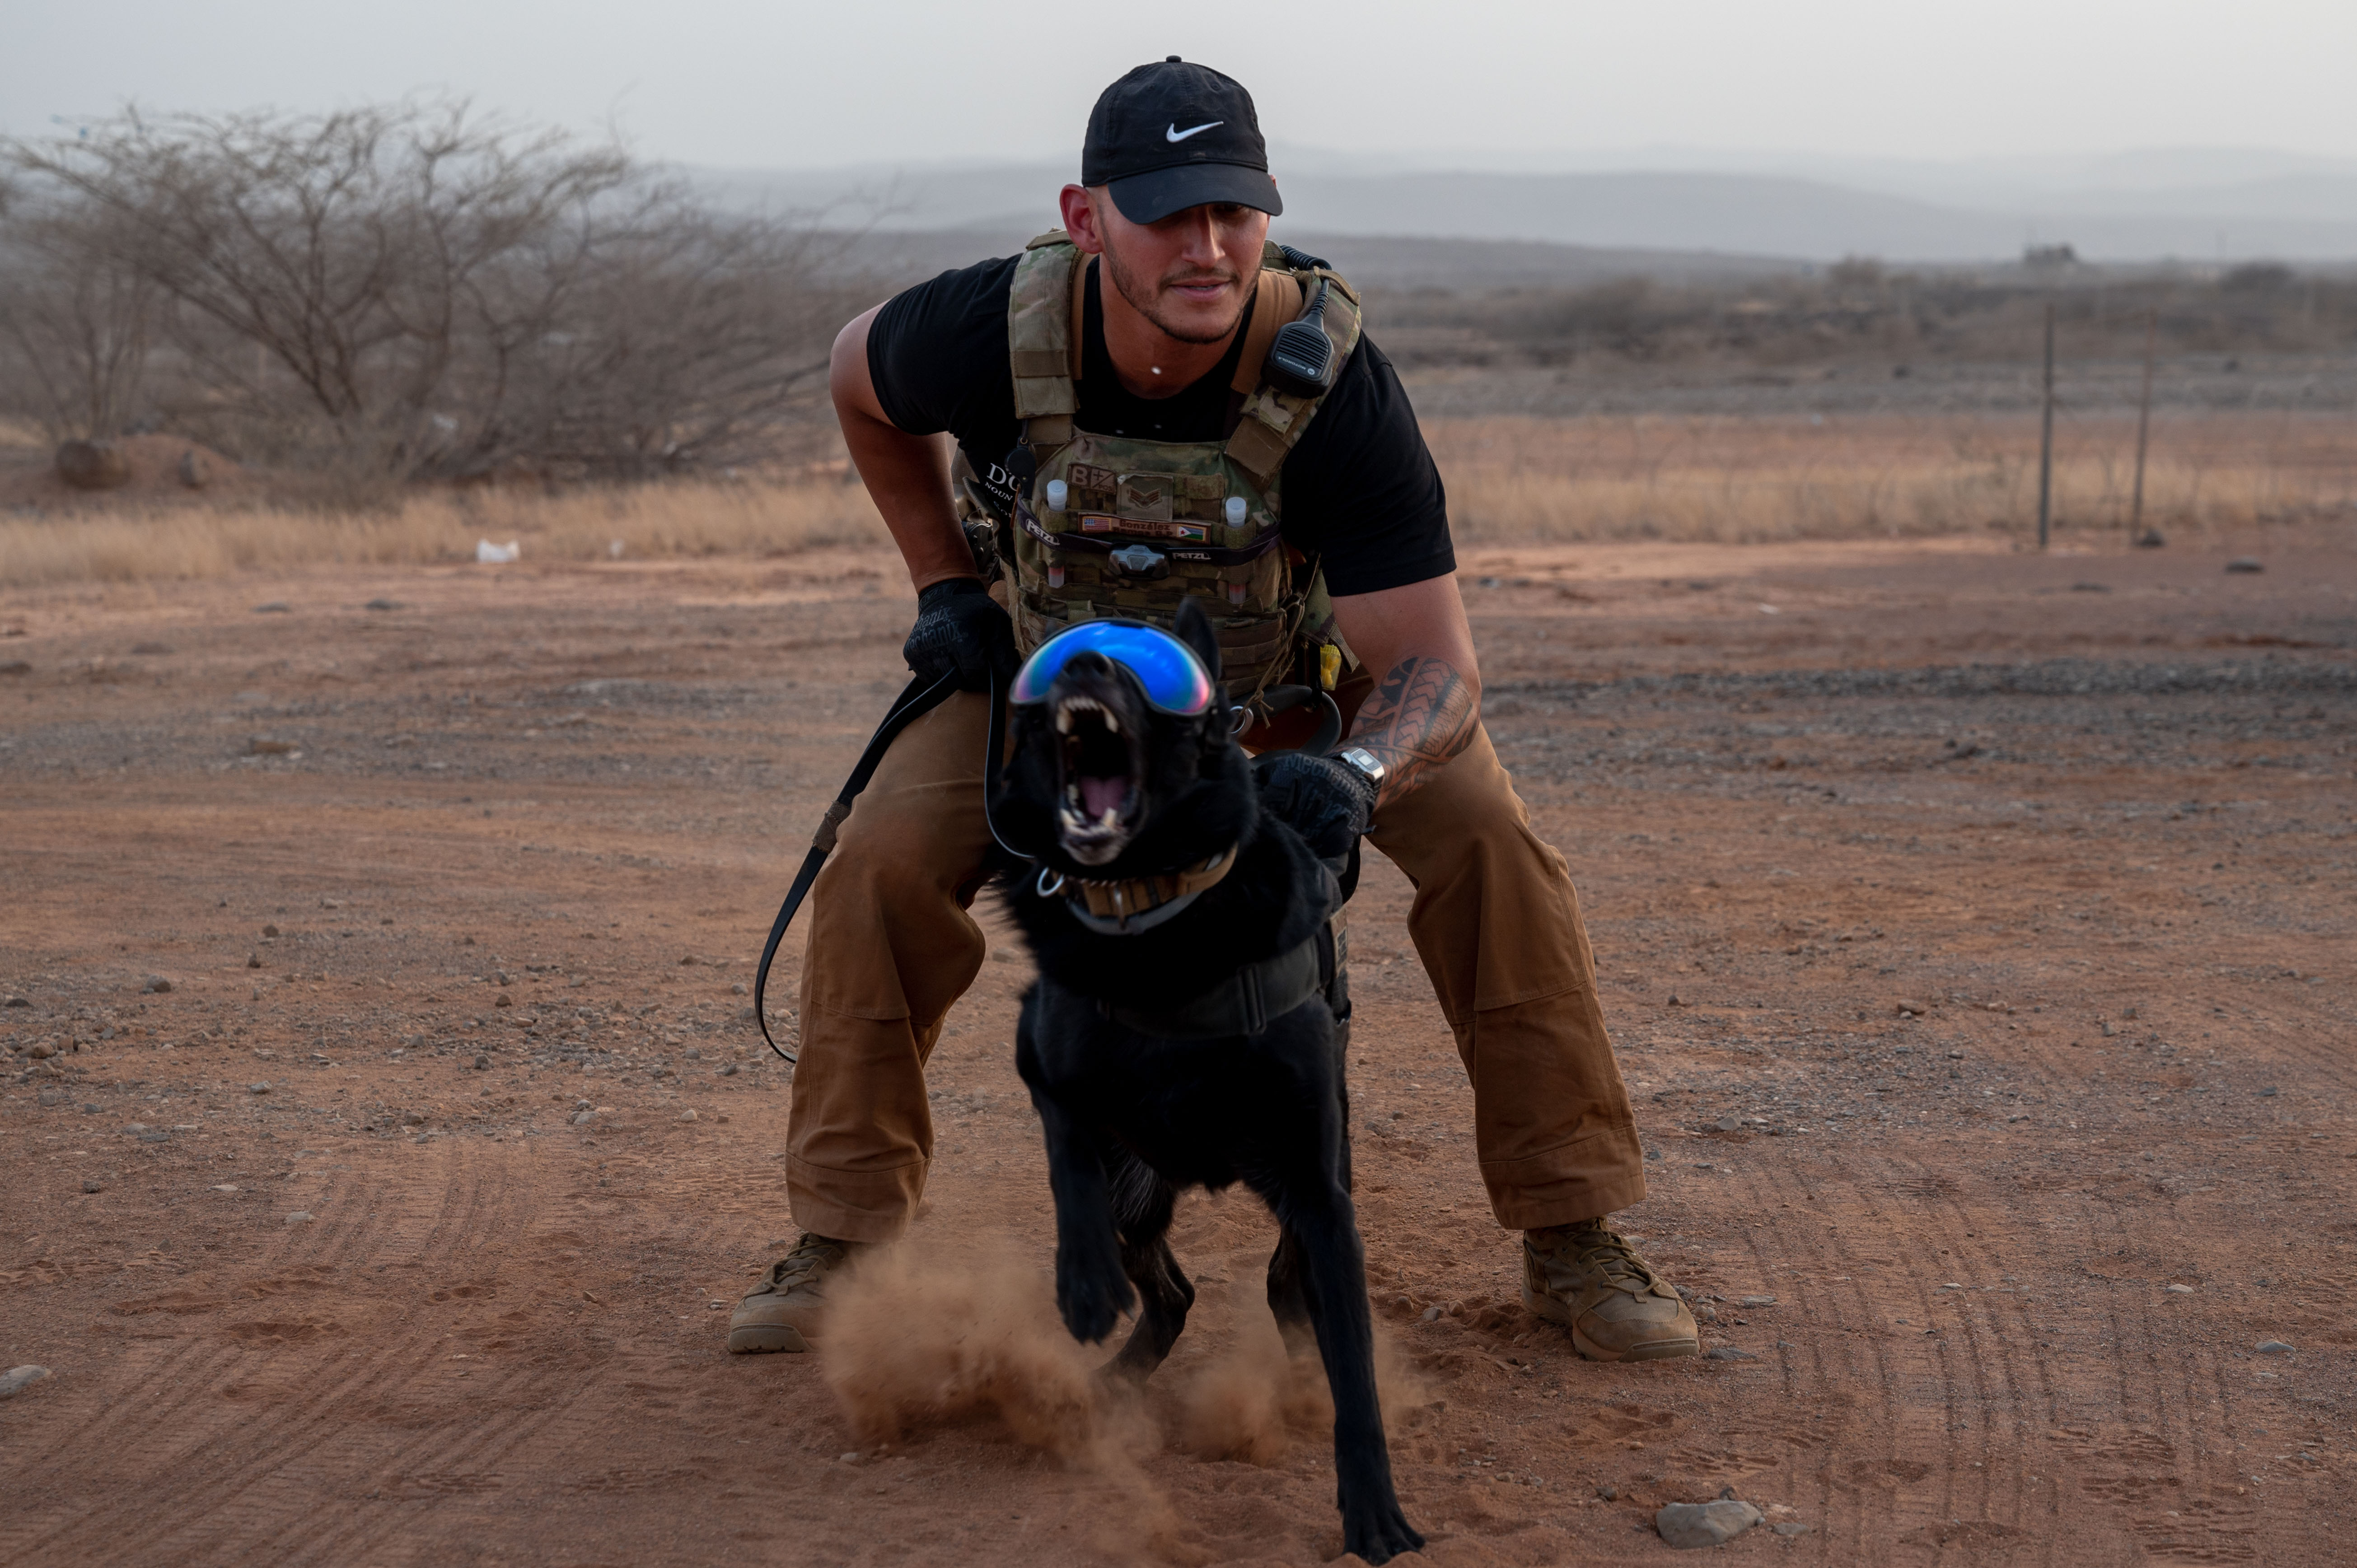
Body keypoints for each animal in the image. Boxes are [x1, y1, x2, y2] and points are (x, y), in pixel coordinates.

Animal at [990, 596, 1414, 1556]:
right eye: (1061, 660)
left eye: (1164, 679)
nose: (1087, 669)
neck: (1164, 938)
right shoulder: (1040, 1053)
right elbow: (1067, 1149)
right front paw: (1084, 1285)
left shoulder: (1320, 1194)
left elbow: (1358, 1377)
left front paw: (1374, 1511)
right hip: (1138, 1192)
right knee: (1173, 1294)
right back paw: (1101, 1385)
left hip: (1302, 1186)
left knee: (1279, 1290)